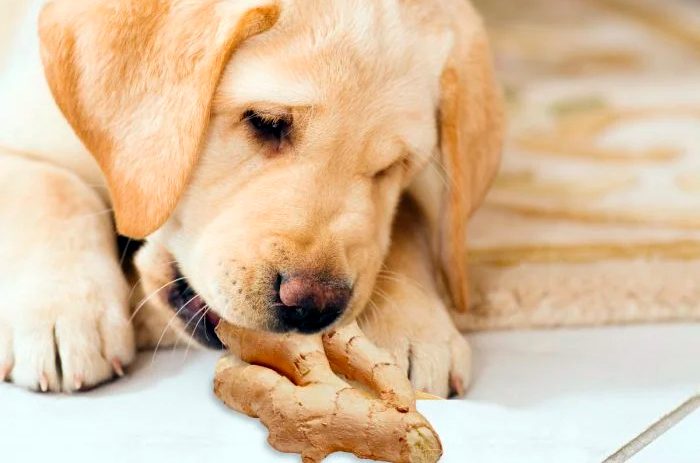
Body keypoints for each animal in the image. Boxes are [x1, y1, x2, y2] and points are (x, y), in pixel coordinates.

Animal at [0, 0, 502, 397]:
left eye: (391, 167)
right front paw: (64, 311)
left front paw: (414, 325)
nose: (311, 305)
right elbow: (53, 189)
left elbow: (406, 222)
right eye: (265, 122)